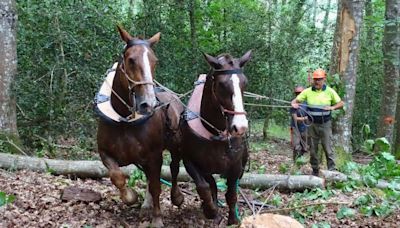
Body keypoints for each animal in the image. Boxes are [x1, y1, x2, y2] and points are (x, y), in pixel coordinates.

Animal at [96, 25, 184, 227]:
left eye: (154, 61)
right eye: (130, 60)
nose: (148, 104)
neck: (124, 120)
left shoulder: (154, 155)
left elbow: (157, 185)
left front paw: (157, 219)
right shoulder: (105, 153)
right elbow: (117, 177)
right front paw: (131, 197)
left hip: (175, 147)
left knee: (174, 169)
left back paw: (176, 197)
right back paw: (145, 205)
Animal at [173, 51, 253, 224]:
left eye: (245, 83)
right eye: (222, 85)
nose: (240, 127)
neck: (216, 134)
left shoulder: (236, 167)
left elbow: (231, 194)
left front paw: (233, 220)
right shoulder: (191, 162)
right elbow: (204, 187)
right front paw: (211, 210)